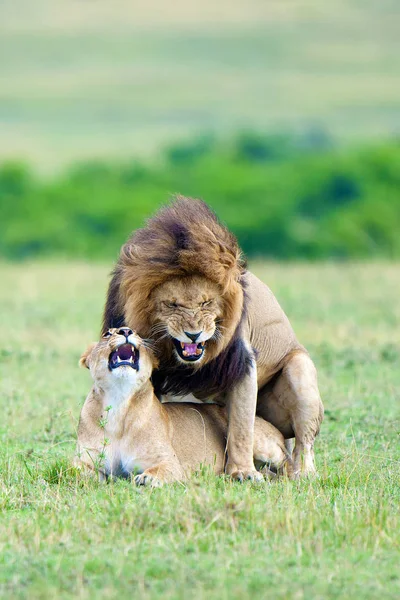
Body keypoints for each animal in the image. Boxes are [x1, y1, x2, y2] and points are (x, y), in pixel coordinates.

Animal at [77, 326, 290, 486]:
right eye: (107, 334)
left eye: (136, 333)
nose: (126, 331)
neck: (119, 400)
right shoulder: (83, 461)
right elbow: (81, 473)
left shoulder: (170, 462)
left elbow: (160, 471)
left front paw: (146, 478)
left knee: (287, 460)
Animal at [101, 199, 324, 480]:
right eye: (172, 304)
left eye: (206, 302)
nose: (193, 334)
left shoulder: (241, 361)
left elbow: (241, 427)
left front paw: (243, 473)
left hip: (299, 371)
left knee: (301, 443)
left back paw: (302, 474)